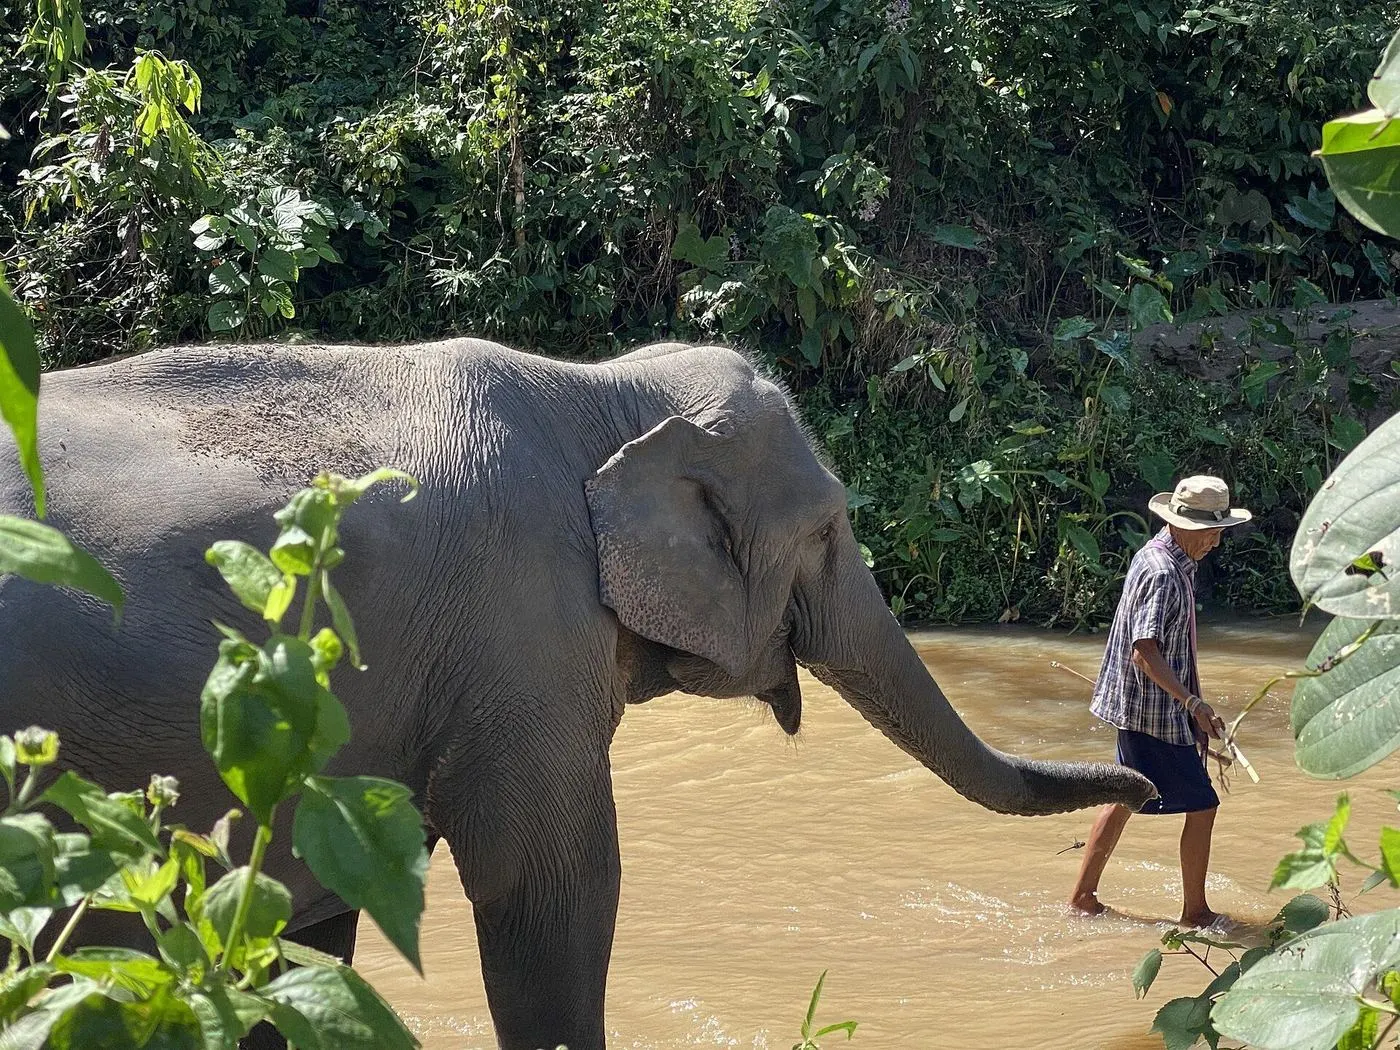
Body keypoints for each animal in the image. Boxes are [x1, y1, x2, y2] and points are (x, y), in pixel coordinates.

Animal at [0, 337, 1153, 1049]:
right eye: (828, 530)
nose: (1145, 785)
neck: (599, 390)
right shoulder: (520, 635)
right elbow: (551, 891)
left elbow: (303, 932)